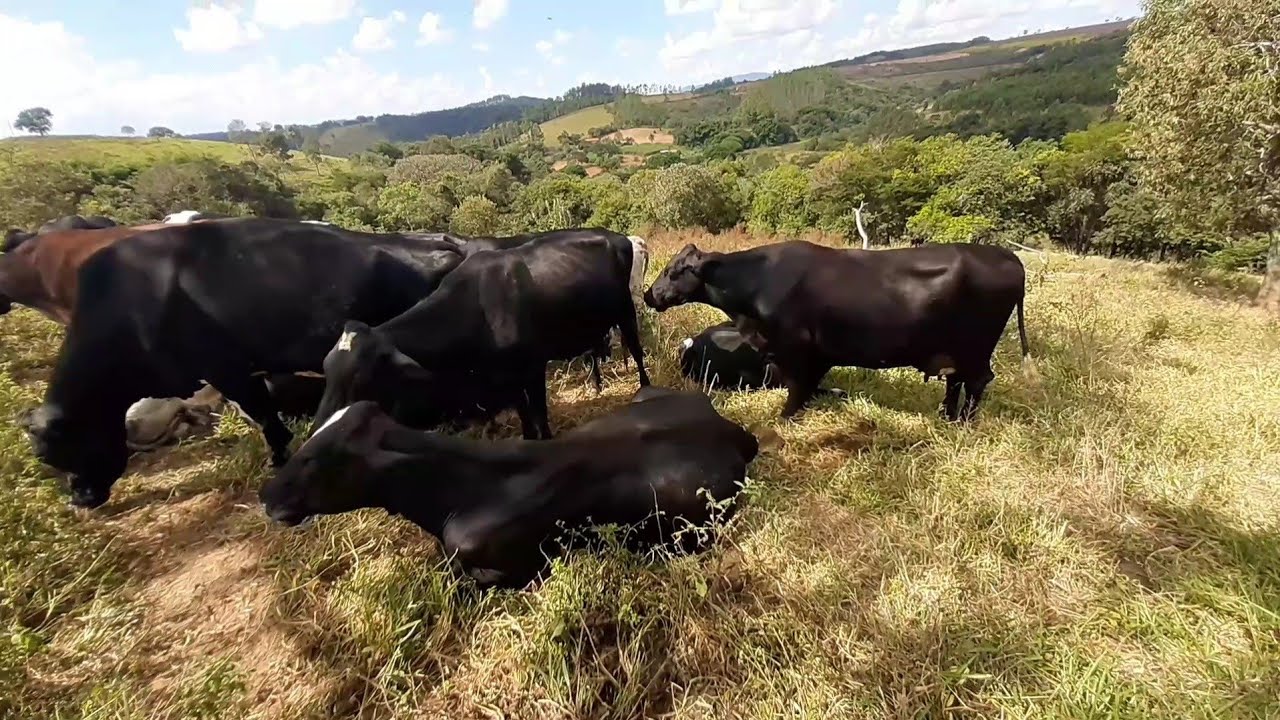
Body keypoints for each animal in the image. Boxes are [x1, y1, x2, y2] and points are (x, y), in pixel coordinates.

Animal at [312, 228, 651, 442]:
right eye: (327, 371)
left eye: (361, 379)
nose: (320, 429)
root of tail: (619, 237)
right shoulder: (508, 380)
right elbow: (526, 417)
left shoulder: (532, 368)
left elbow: (540, 414)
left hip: (626, 311)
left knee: (636, 350)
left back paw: (645, 389)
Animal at [644, 240, 1030, 422]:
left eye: (673, 271)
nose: (649, 294)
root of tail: (1008, 257)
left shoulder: (797, 350)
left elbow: (797, 390)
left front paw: (785, 418)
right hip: (957, 350)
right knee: (956, 380)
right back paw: (947, 416)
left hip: (977, 348)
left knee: (977, 381)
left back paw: (963, 423)